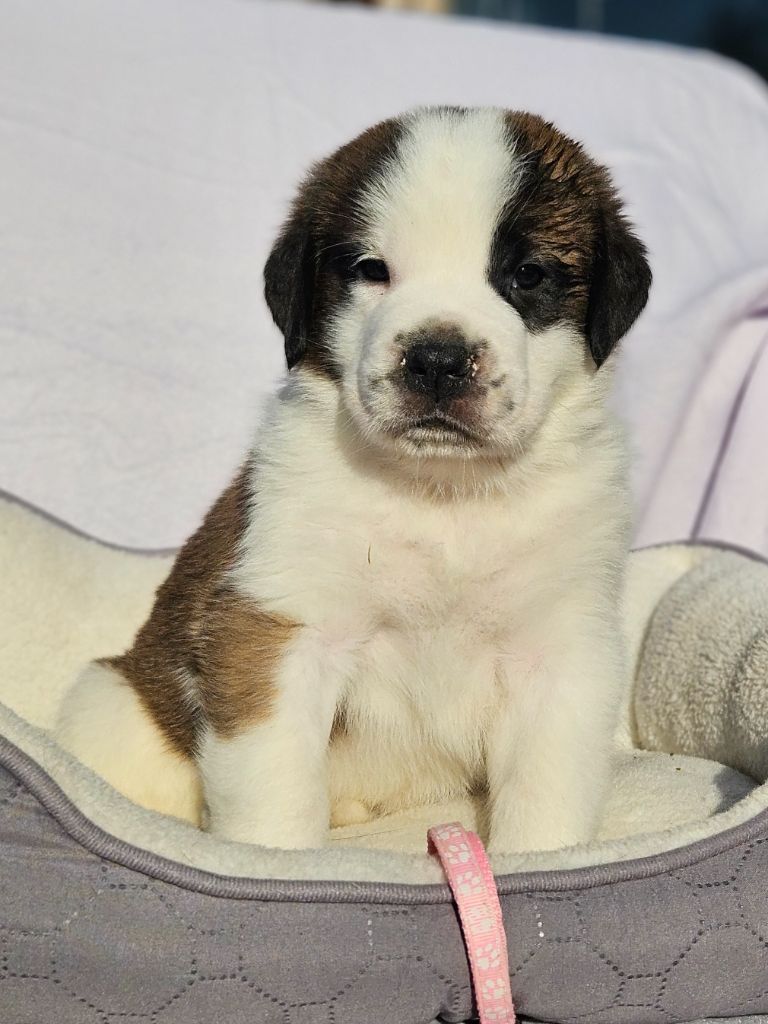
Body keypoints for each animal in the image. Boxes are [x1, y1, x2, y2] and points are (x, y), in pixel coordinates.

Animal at [55, 106, 651, 853]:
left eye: (527, 274)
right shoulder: (281, 632)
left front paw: (543, 862)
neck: (441, 497)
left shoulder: (560, 651)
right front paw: (277, 865)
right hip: (110, 699)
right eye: (372, 270)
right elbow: (275, 788)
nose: (438, 358)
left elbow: (547, 794)